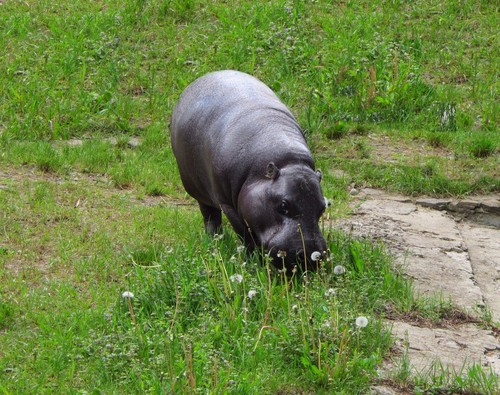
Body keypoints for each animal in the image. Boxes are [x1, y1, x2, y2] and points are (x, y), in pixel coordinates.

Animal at [171, 70, 328, 272]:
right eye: (283, 205)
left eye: (323, 206)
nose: (310, 256)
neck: (288, 162)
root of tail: (203, 78)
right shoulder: (228, 205)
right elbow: (245, 234)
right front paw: (255, 261)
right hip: (200, 193)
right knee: (210, 217)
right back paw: (215, 241)